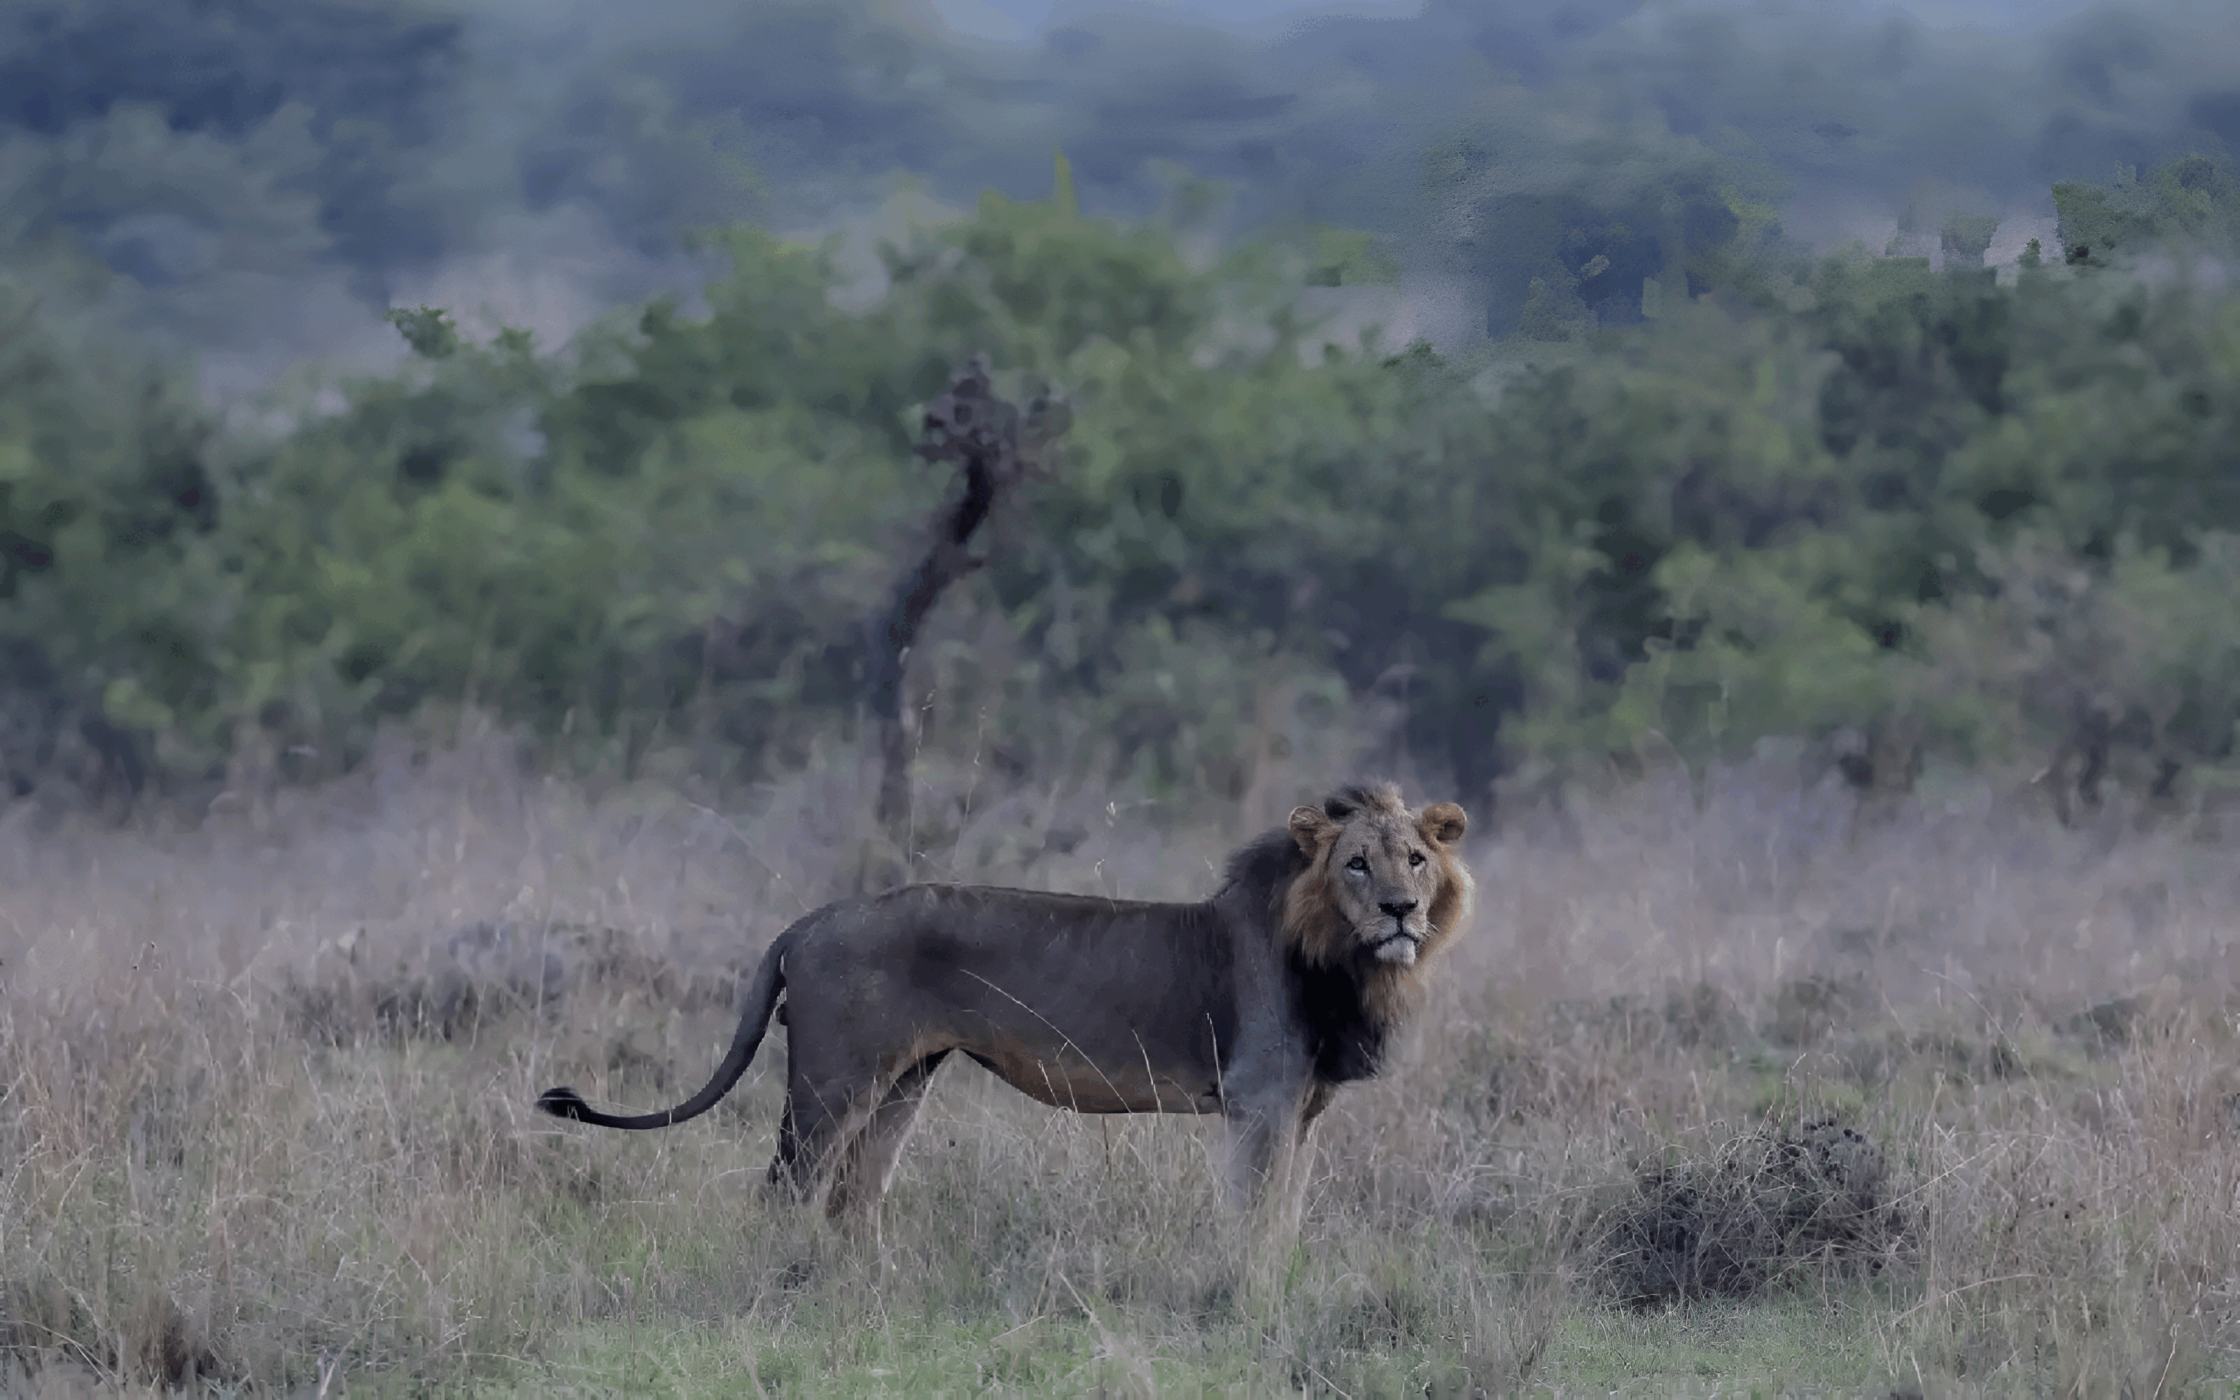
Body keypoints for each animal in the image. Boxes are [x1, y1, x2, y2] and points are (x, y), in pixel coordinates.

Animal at [536, 781, 1473, 1237]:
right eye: (1356, 863)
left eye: (1417, 860)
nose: (1401, 911)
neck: (1347, 965)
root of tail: (809, 920)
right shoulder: (1258, 1103)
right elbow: (1253, 1217)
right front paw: (1245, 1297)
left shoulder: (1300, 1113)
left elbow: (1284, 1217)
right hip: (831, 1083)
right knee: (787, 1192)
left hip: (903, 1081)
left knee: (855, 1198)